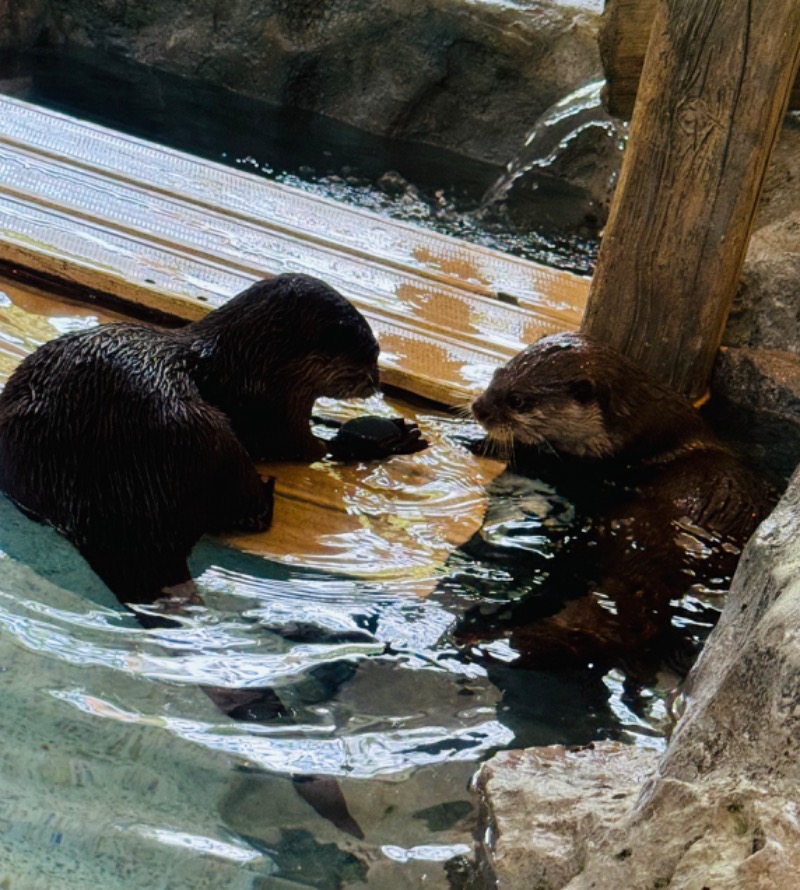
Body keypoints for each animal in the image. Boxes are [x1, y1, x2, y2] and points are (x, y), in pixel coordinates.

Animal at [0, 270, 400, 604]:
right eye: (370, 356)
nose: (377, 382)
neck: (253, 363)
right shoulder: (275, 409)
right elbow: (311, 450)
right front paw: (381, 439)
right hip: (208, 433)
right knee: (248, 509)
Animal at [462, 332, 776, 672]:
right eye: (497, 375)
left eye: (517, 400)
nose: (478, 407)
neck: (638, 434)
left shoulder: (601, 462)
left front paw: (482, 443)